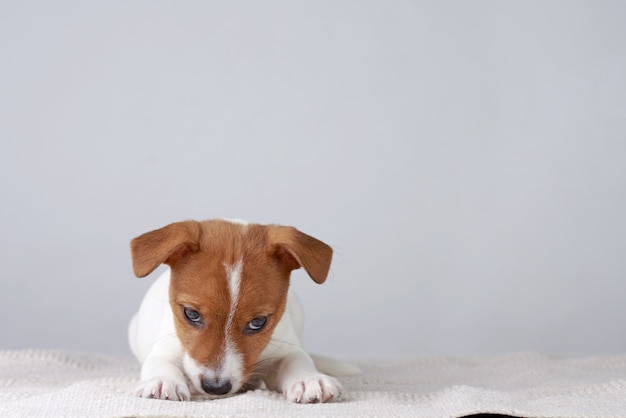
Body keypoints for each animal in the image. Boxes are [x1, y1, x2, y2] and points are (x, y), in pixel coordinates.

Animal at [128, 219, 352, 402]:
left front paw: (309, 379)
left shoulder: (286, 348)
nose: (215, 388)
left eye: (258, 322)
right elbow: (161, 363)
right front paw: (163, 381)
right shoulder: (166, 348)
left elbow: (297, 360)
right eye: (191, 314)